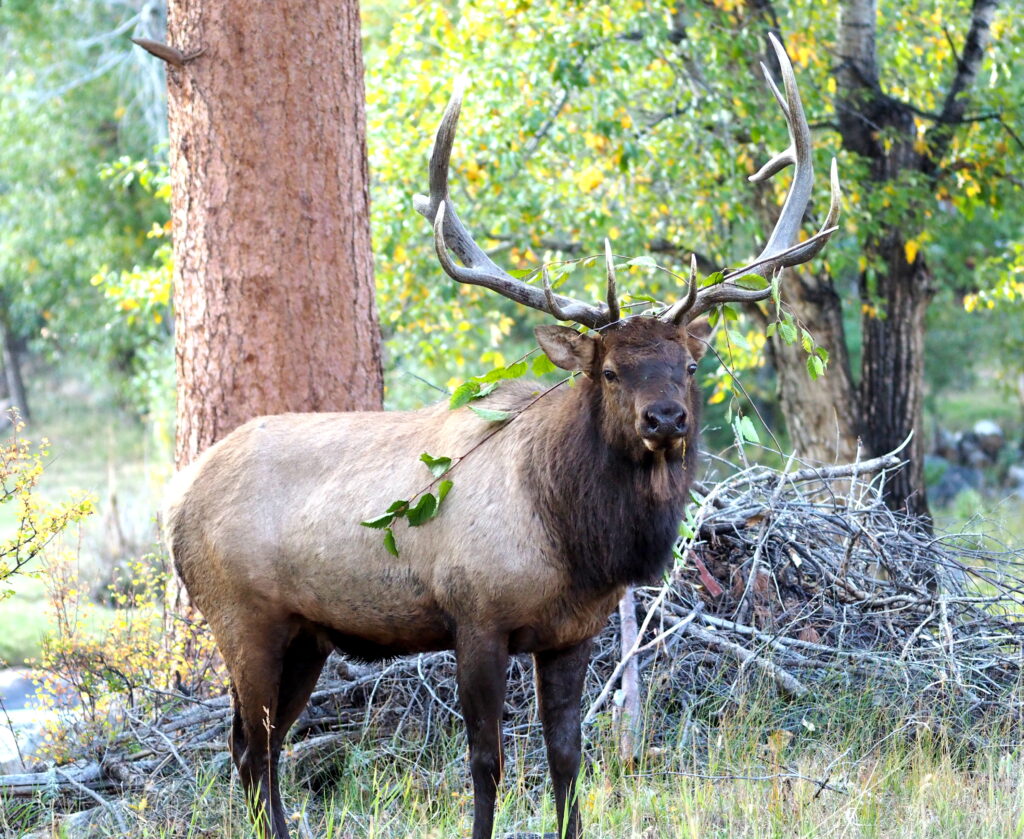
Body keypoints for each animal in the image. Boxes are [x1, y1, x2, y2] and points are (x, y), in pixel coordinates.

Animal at [163, 34, 839, 839]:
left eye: (689, 364)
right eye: (611, 370)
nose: (666, 419)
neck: (573, 538)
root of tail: (174, 500)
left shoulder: (574, 632)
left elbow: (568, 758)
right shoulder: (475, 615)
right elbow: (486, 762)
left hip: (307, 633)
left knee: (251, 747)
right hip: (243, 616)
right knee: (252, 746)